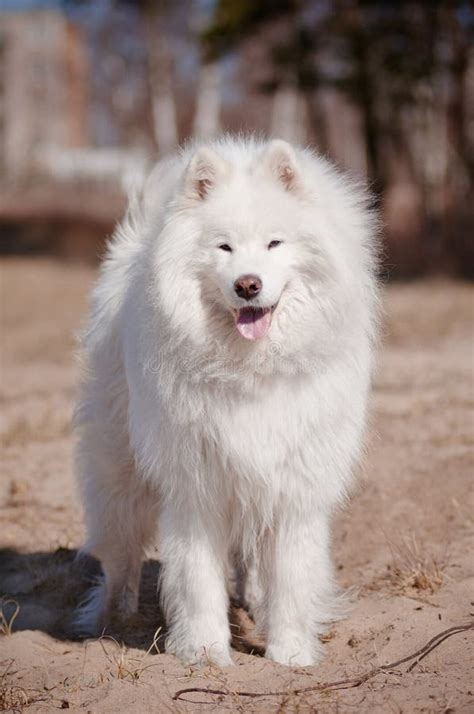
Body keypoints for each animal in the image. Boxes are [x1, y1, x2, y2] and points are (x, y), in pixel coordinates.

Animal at [73, 136, 378, 664]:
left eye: (275, 243)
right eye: (224, 247)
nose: (247, 284)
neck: (250, 369)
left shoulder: (292, 482)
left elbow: (291, 577)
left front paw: (289, 653)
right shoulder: (196, 482)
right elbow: (198, 579)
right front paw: (205, 652)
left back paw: (256, 604)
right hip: (120, 469)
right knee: (120, 554)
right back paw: (112, 620)